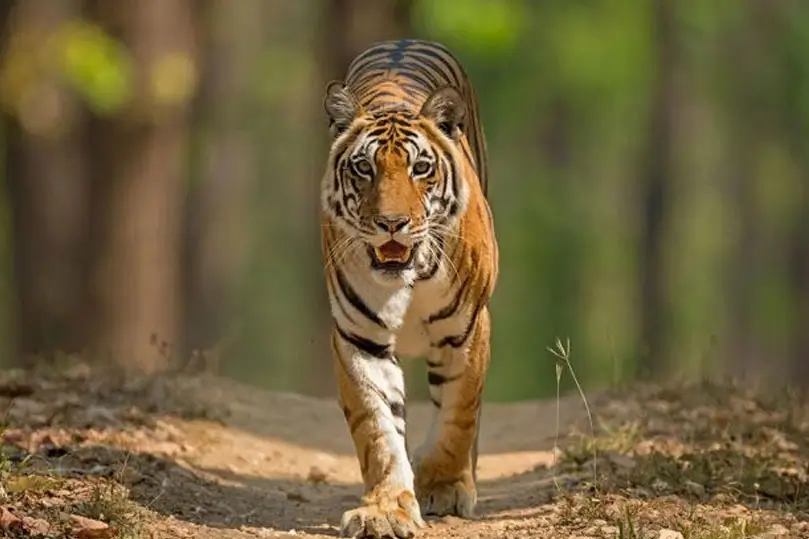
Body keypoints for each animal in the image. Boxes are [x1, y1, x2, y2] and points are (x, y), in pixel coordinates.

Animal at [320, 38, 498, 539]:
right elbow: (377, 429)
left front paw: (445, 486)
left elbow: (459, 414)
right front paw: (385, 510)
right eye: (363, 168)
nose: (392, 223)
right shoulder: (359, 339)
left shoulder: (468, 330)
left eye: (421, 168)